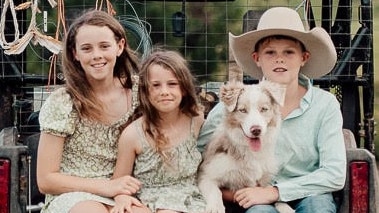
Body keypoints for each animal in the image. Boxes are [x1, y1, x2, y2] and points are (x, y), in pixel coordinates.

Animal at [197, 80, 296, 213]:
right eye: (243, 110)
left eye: (264, 109)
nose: (256, 130)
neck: (250, 151)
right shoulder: (205, 174)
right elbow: (215, 191)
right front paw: (215, 207)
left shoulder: (264, 179)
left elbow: (269, 191)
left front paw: (285, 207)